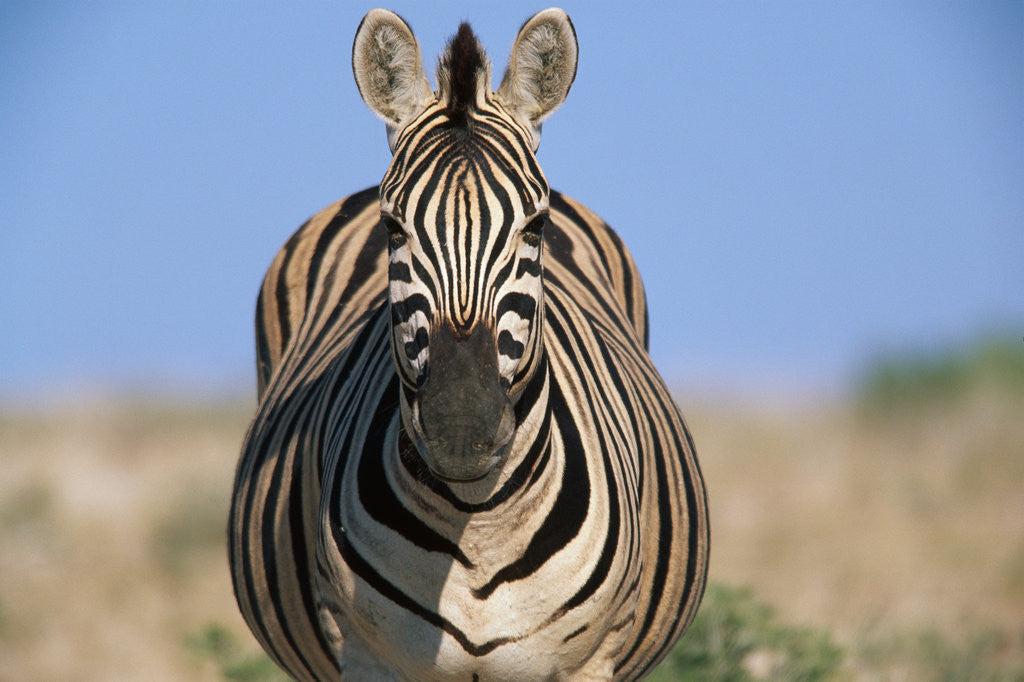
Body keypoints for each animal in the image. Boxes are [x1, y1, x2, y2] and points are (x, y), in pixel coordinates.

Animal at [229, 8, 709, 680]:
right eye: (392, 227)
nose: (460, 430)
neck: (478, 520)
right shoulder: (367, 658)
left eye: (536, 226)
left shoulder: (591, 661)